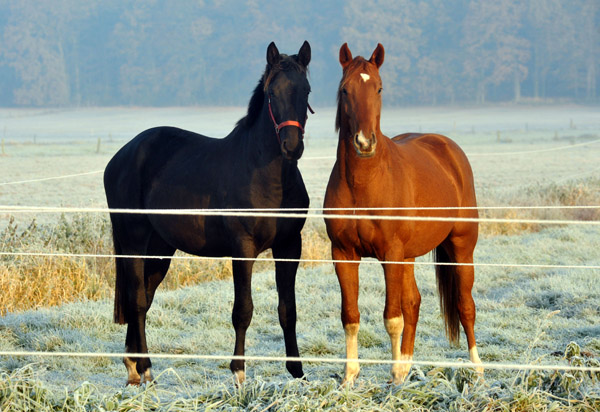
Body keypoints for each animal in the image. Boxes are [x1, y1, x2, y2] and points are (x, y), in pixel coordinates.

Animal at [103, 41, 312, 386]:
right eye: (272, 93)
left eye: (306, 90)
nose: (291, 146)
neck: (264, 175)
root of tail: (122, 155)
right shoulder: (243, 249)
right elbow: (243, 310)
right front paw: (238, 371)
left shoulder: (289, 247)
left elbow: (288, 310)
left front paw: (298, 372)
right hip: (133, 243)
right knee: (136, 300)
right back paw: (145, 367)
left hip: (161, 249)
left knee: (144, 297)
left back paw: (133, 366)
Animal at [324, 43, 482, 384]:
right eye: (344, 89)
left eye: (379, 88)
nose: (364, 142)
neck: (364, 183)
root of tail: (448, 148)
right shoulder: (343, 254)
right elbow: (351, 316)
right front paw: (349, 378)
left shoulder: (390, 254)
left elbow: (392, 317)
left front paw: (395, 377)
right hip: (408, 256)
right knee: (414, 303)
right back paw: (409, 364)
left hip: (461, 248)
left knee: (465, 306)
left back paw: (478, 369)